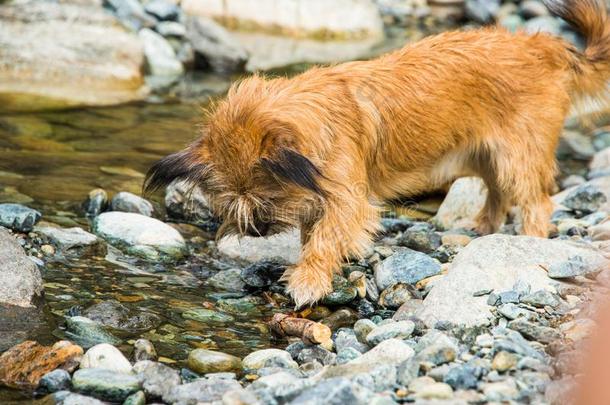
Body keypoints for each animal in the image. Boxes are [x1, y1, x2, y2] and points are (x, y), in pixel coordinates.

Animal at [145, 0, 608, 304]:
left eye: (267, 198)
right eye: (231, 201)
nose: (257, 230)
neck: (321, 116)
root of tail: (546, 48)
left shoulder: (346, 200)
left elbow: (325, 238)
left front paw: (309, 279)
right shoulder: (318, 193)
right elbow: (312, 232)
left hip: (518, 155)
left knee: (535, 201)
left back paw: (530, 240)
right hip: (484, 154)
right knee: (496, 191)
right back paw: (483, 228)